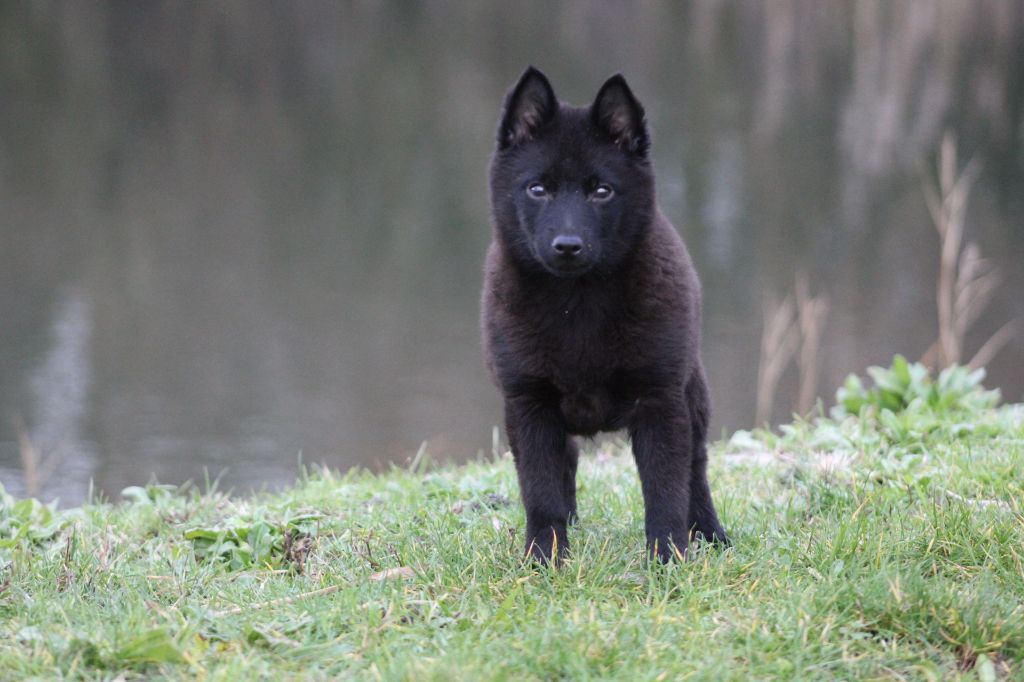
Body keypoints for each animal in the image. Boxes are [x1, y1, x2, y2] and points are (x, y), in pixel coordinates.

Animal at [479, 66, 729, 561]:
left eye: (601, 191)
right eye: (537, 189)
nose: (568, 246)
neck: (577, 302)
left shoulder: (660, 400)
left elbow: (665, 491)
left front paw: (667, 559)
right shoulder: (528, 403)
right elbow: (540, 491)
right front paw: (545, 557)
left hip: (693, 394)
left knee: (696, 472)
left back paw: (710, 535)